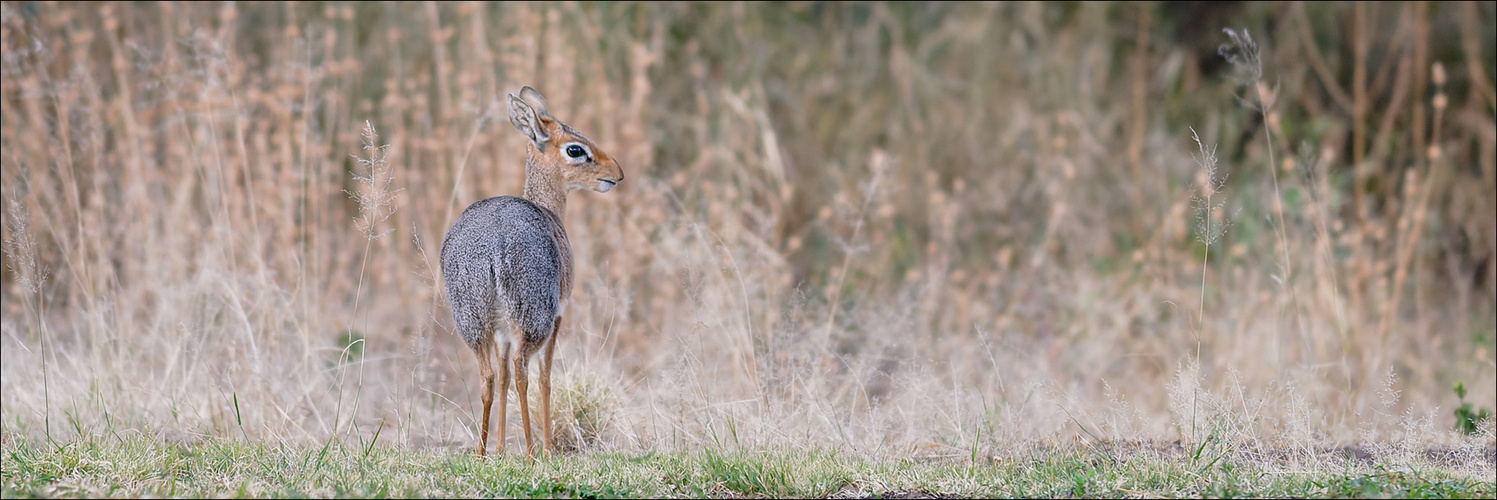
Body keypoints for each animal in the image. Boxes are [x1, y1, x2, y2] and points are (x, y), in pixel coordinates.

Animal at [437, 84, 622, 458]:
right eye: (575, 148)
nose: (616, 173)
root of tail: (491, 246)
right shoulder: (558, 315)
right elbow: (545, 378)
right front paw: (545, 447)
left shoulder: (503, 332)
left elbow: (504, 377)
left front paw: (500, 448)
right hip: (534, 320)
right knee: (524, 371)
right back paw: (535, 450)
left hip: (473, 323)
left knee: (490, 376)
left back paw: (482, 451)